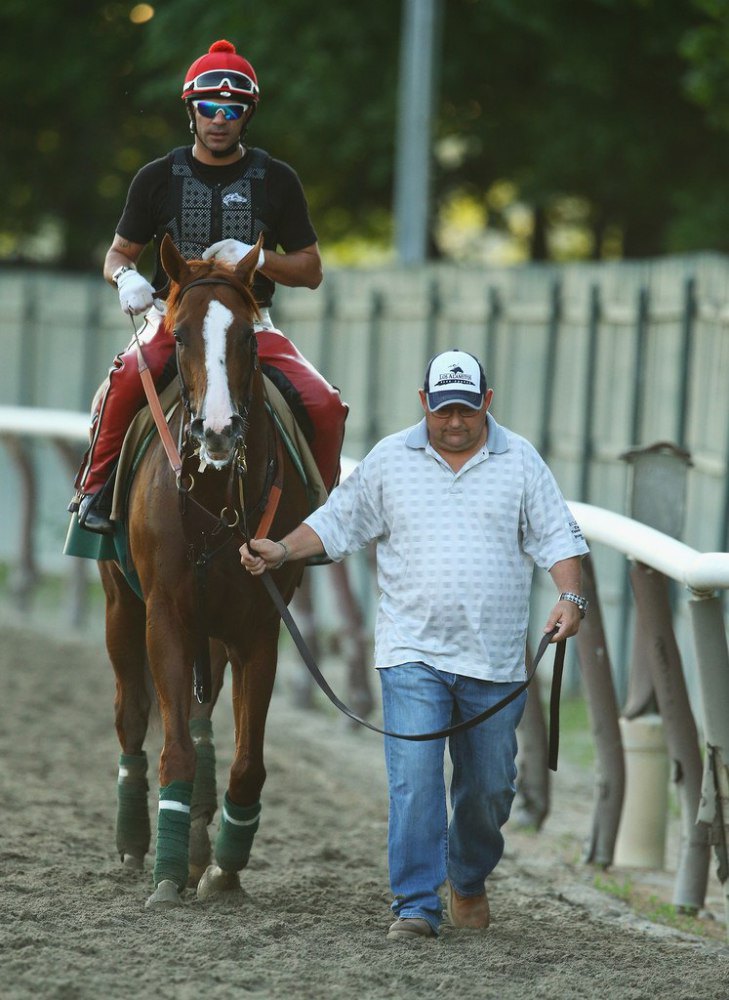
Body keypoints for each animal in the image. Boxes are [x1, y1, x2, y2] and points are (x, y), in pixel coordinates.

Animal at [98, 234, 308, 908]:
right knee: (132, 713)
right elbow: (175, 750)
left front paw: (223, 867)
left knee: (201, 717)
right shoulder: (165, 611)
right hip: (122, 603)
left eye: (247, 337)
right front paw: (166, 873)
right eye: (183, 334)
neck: (216, 497)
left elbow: (246, 760)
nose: (217, 430)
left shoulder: (258, 623)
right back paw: (135, 840)